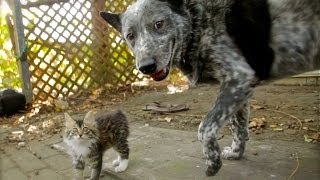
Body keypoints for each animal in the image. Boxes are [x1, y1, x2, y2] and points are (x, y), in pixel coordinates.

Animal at [100, 0, 320, 176]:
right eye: (130, 35)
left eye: (159, 24)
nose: (146, 67)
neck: (199, 20)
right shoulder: (239, 88)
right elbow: (239, 127)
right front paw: (236, 153)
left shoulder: (238, 79)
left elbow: (204, 128)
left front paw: (213, 163)